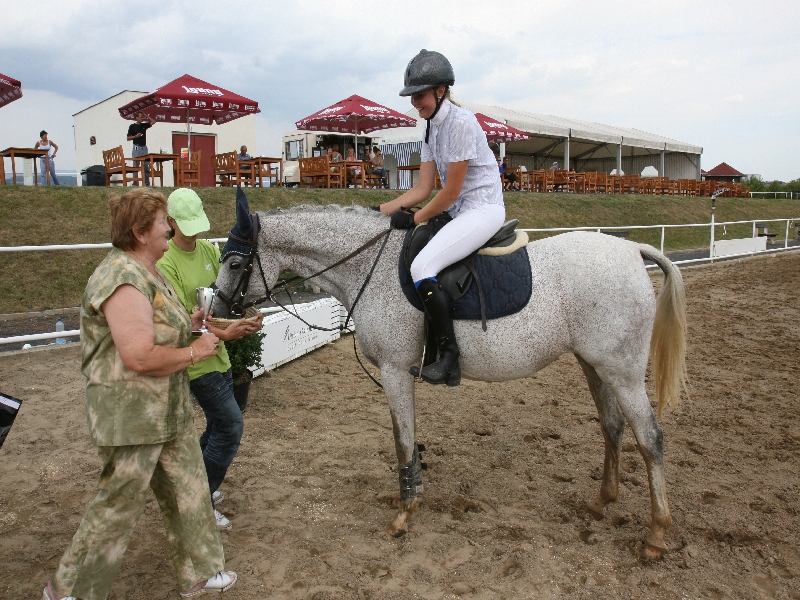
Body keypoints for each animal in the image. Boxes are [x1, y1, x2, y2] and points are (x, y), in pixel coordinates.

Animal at [214, 200, 688, 556]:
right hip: (596, 365)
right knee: (612, 427)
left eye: (235, 262)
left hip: (622, 372)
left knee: (650, 438)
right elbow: (407, 437)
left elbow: (402, 440)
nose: (216, 311)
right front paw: (409, 496)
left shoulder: (394, 370)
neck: (371, 265)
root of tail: (633, 250)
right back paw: (602, 501)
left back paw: (656, 534)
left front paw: (404, 513)